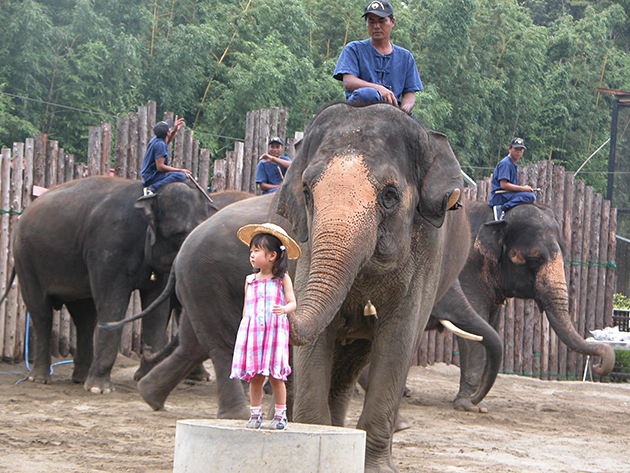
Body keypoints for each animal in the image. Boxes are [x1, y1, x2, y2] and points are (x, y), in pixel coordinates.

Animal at [7, 175, 249, 392]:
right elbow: (112, 304)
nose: (147, 348)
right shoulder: (108, 246)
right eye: (178, 234)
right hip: (26, 258)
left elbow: (156, 308)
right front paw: (99, 389)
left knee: (84, 314)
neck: (149, 194)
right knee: (41, 312)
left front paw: (142, 380)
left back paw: (80, 378)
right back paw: (41, 379)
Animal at [107, 104, 504, 472]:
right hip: (204, 280)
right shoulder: (304, 239)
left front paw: (374, 465)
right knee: (219, 345)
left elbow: (398, 339)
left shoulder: (426, 253)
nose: (473, 405)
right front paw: (314, 430)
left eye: (391, 195)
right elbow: (317, 343)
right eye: (308, 193)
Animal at [428, 201, 616, 412]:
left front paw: (478, 404)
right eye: (534, 261)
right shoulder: (468, 269)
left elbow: (489, 326)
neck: (497, 218)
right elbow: (474, 330)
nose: (598, 365)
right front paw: (469, 405)